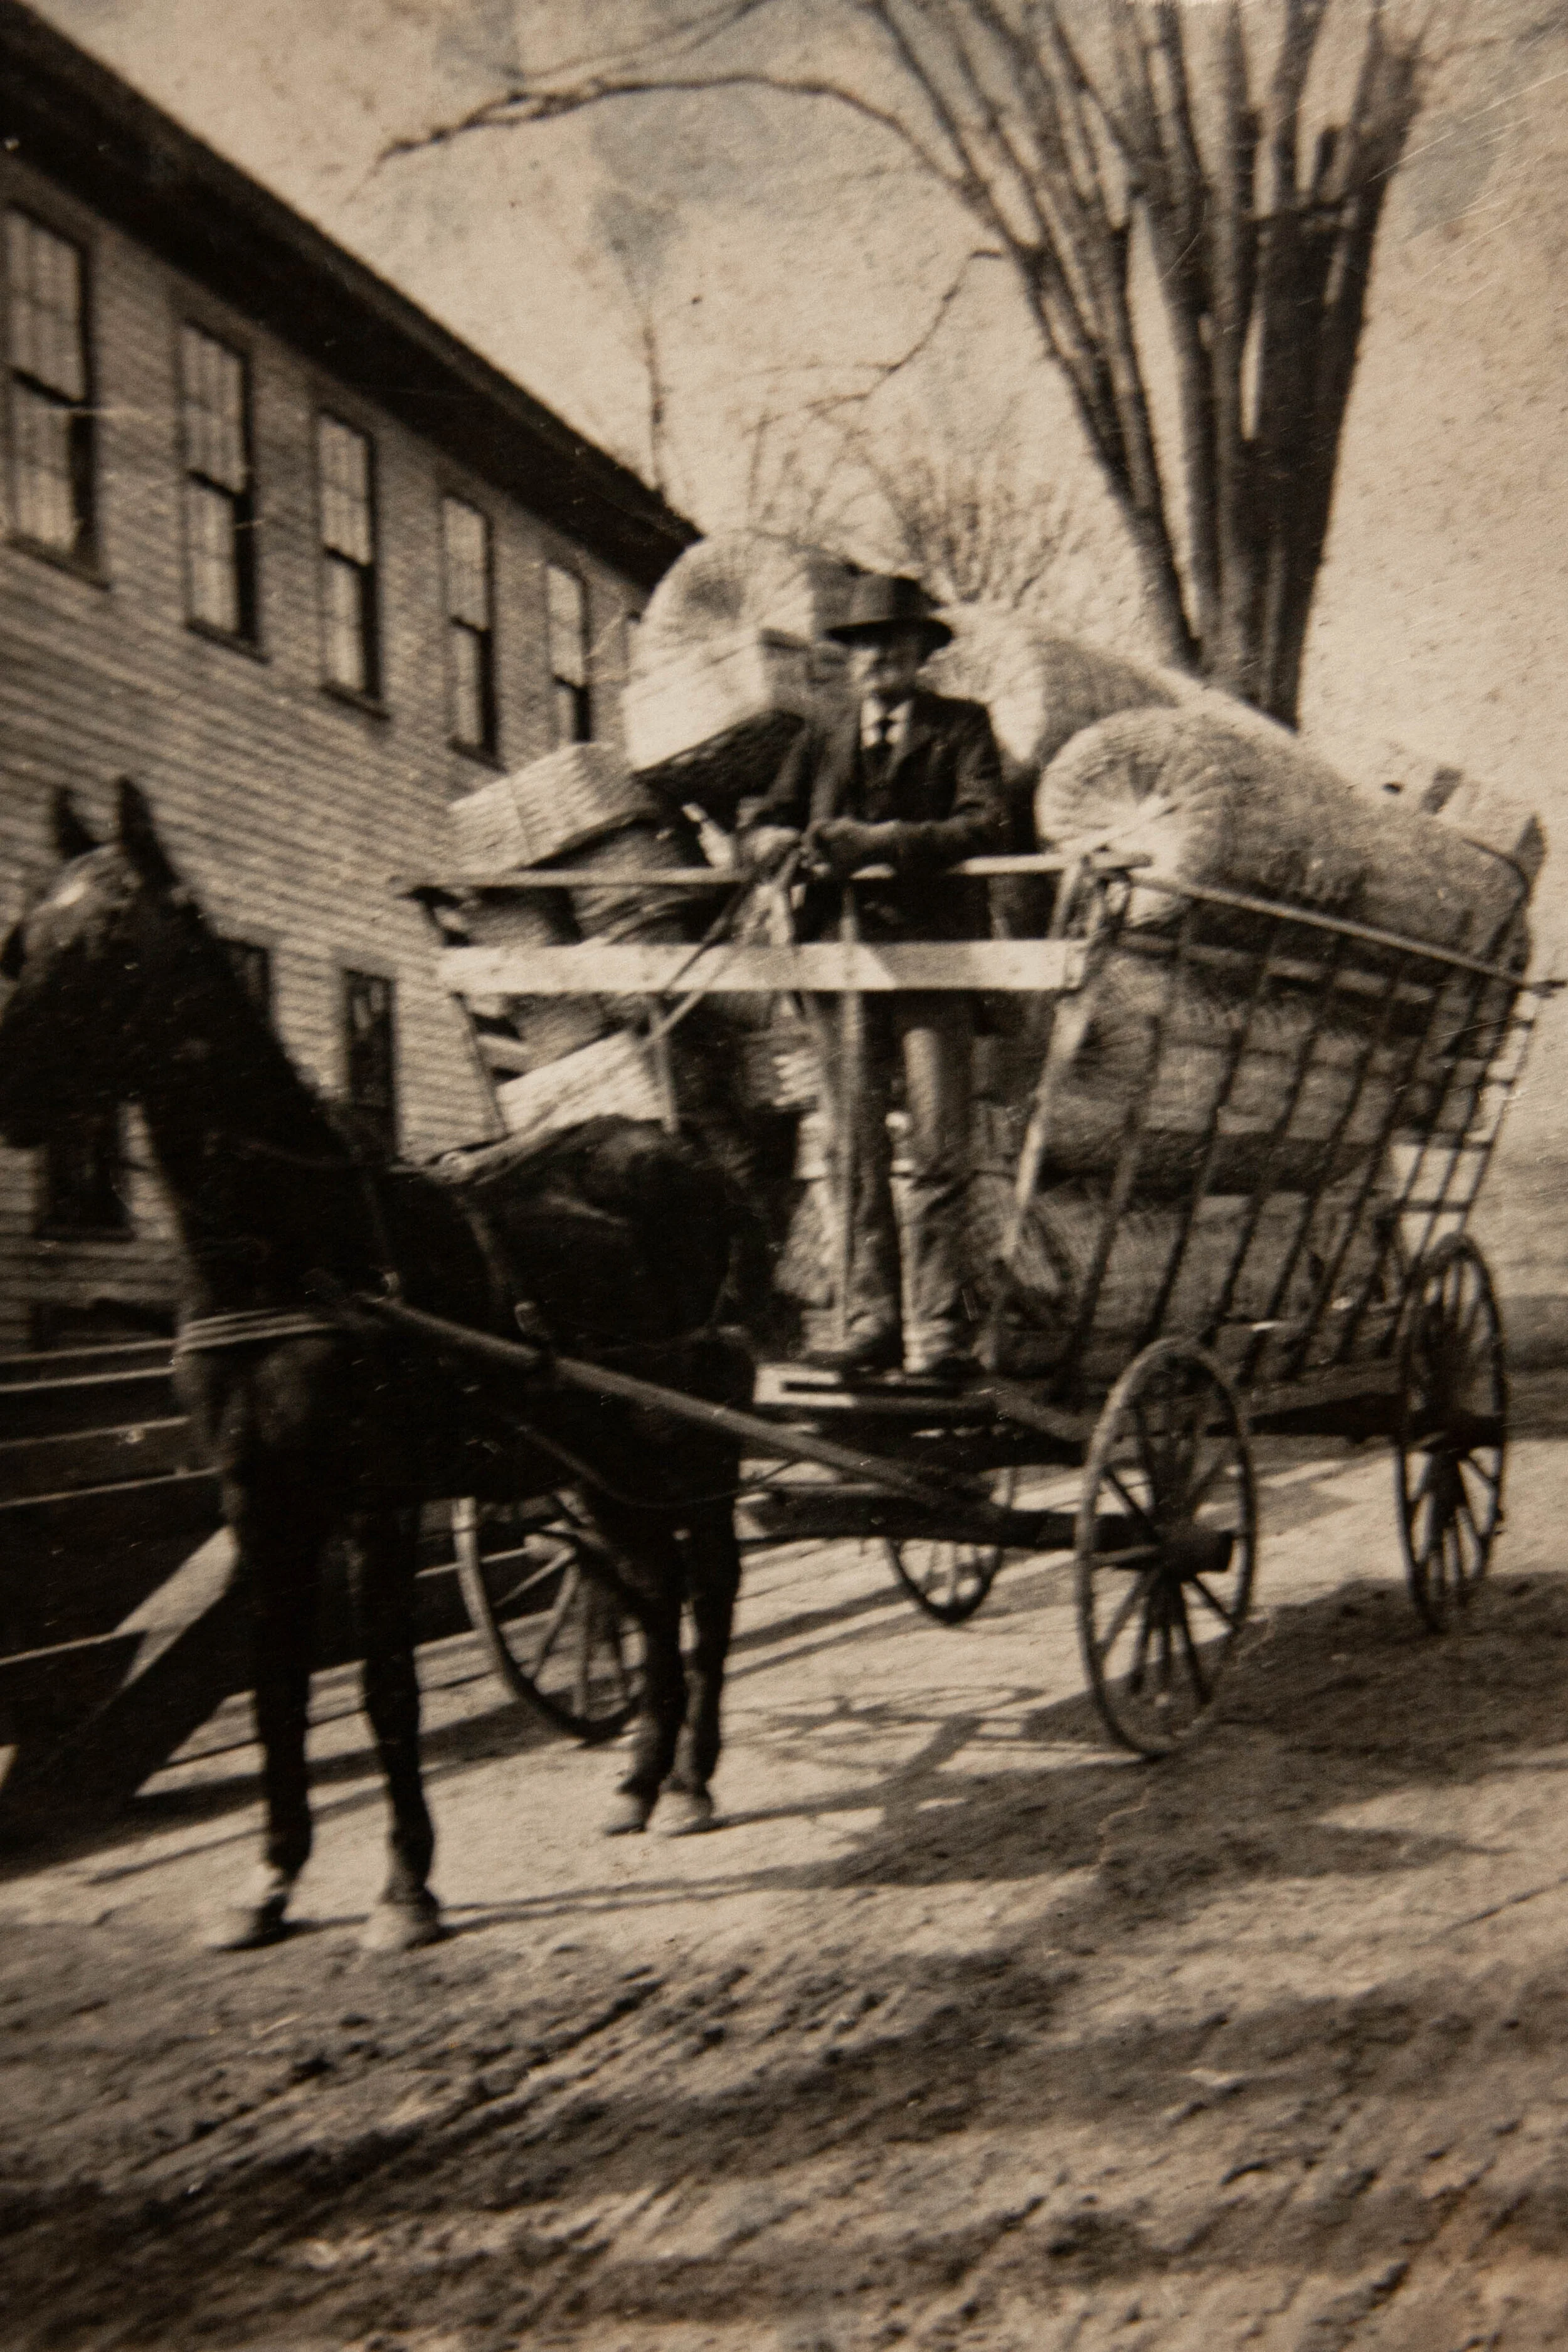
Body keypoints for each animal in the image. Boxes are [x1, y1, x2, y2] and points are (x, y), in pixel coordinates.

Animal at [0, 785, 752, 1947]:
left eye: (116, 939)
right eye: (22, 938)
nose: (7, 1096)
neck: (297, 1248)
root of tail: (682, 1152)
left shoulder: (374, 1500)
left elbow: (388, 1686)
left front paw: (406, 1887)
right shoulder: (262, 1500)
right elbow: (276, 1685)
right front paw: (270, 1879)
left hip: (691, 1442)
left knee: (708, 1586)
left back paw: (693, 1780)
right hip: (598, 1459)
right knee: (647, 1589)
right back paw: (639, 1779)